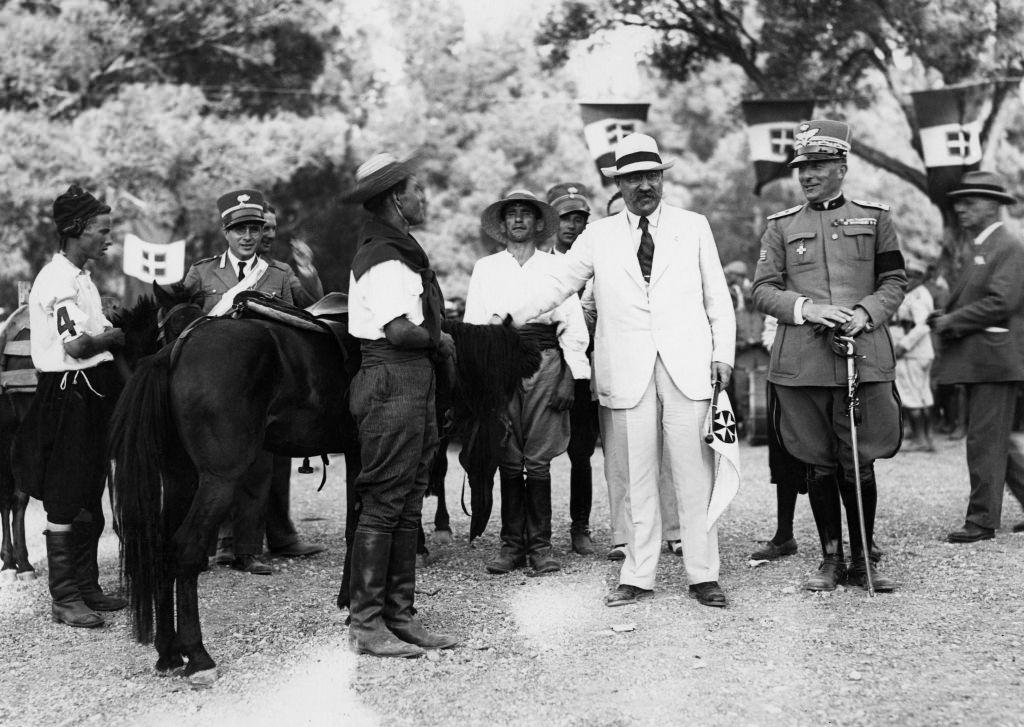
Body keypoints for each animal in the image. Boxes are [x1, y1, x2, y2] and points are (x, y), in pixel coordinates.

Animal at [109, 298, 540, 688]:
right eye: (516, 358)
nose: (539, 356)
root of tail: (174, 351)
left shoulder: (356, 454)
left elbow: (355, 526)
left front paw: (350, 602)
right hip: (218, 480)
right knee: (186, 550)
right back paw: (198, 655)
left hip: (180, 481)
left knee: (162, 549)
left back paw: (168, 652)